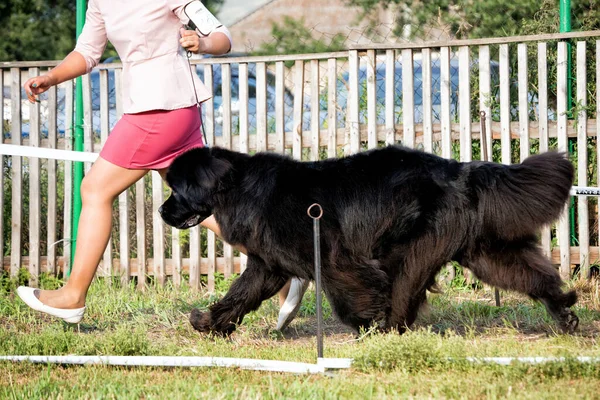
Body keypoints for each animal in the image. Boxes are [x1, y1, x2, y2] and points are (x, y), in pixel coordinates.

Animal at [158, 145, 576, 336]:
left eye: (177, 190)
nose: (162, 211)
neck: (240, 190)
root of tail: (460, 170)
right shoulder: (267, 264)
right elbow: (240, 293)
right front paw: (209, 321)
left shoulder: (333, 257)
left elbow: (349, 291)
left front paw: (365, 320)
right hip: (482, 250)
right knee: (529, 274)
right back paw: (564, 309)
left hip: (411, 250)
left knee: (404, 288)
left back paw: (390, 327)